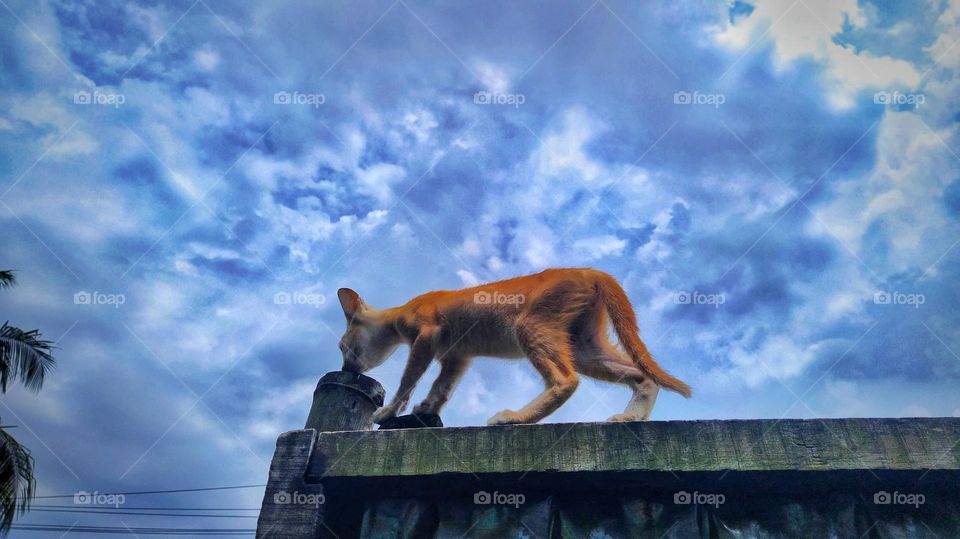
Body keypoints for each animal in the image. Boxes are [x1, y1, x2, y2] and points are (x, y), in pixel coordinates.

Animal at [338, 268, 688, 424]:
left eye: (342, 346)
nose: (345, 368)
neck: (399, 313)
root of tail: (591, 270)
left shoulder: (425, 337)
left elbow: (408, 381)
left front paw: (388, 412)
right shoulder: (458, 357)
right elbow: (443, 387)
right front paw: (427, 408)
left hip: (530, 327)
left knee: (566, 380)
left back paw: (515, 418)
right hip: (584, 346)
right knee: (643, 377)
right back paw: (630, 418)